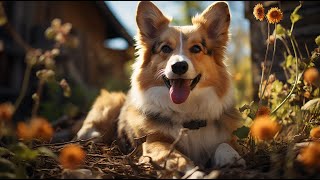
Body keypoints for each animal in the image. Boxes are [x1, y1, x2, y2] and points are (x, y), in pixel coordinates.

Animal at [77, 0, 245, 177]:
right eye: (165, 48)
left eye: (196, 48)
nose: (179, 66)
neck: (187, 112)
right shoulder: (154, 143)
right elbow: (178, 157)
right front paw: (194, 173)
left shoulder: (225, 137)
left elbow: (225, 145)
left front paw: (232, 159)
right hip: (111, 101)